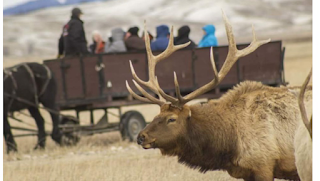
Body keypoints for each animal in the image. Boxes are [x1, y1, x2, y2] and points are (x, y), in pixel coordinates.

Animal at [125, 11, 312, 181]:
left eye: (171, 118)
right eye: (157, 115)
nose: (141, 136)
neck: (229, 143)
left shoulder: (263, 165)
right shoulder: (247, 173)